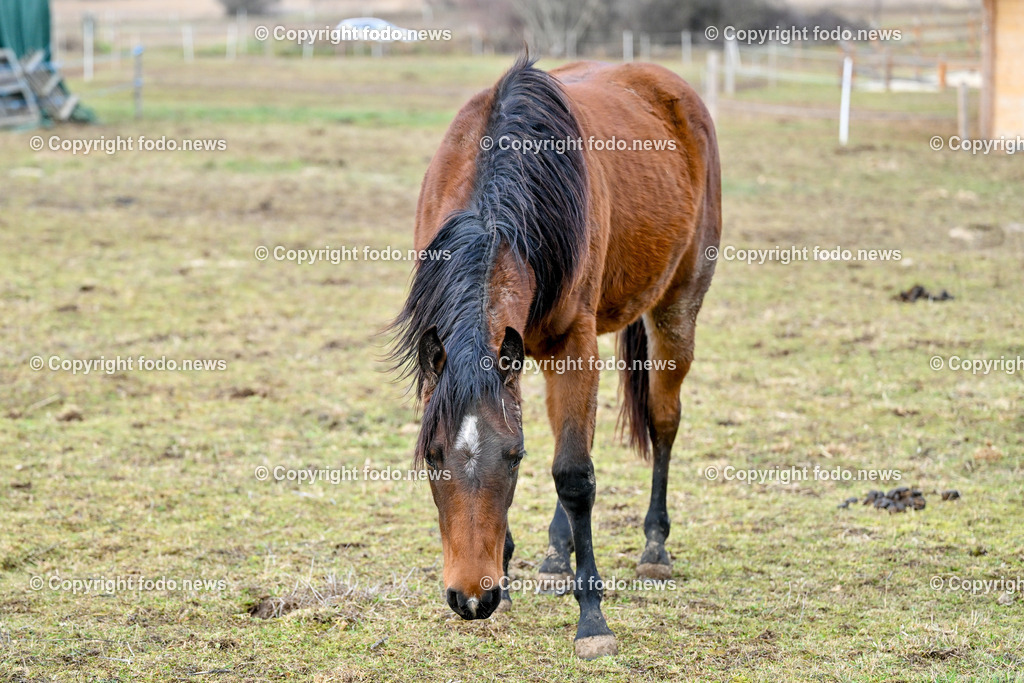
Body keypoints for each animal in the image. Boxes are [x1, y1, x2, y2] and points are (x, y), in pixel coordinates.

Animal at [390, 55, 720, 659]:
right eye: (432, 456)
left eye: (512, 458)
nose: (471, 598)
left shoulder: (574, 345)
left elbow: (573, 475)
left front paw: (592, 620)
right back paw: (552, 554)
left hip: (676, 308)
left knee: (663, 421)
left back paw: (654, 547)